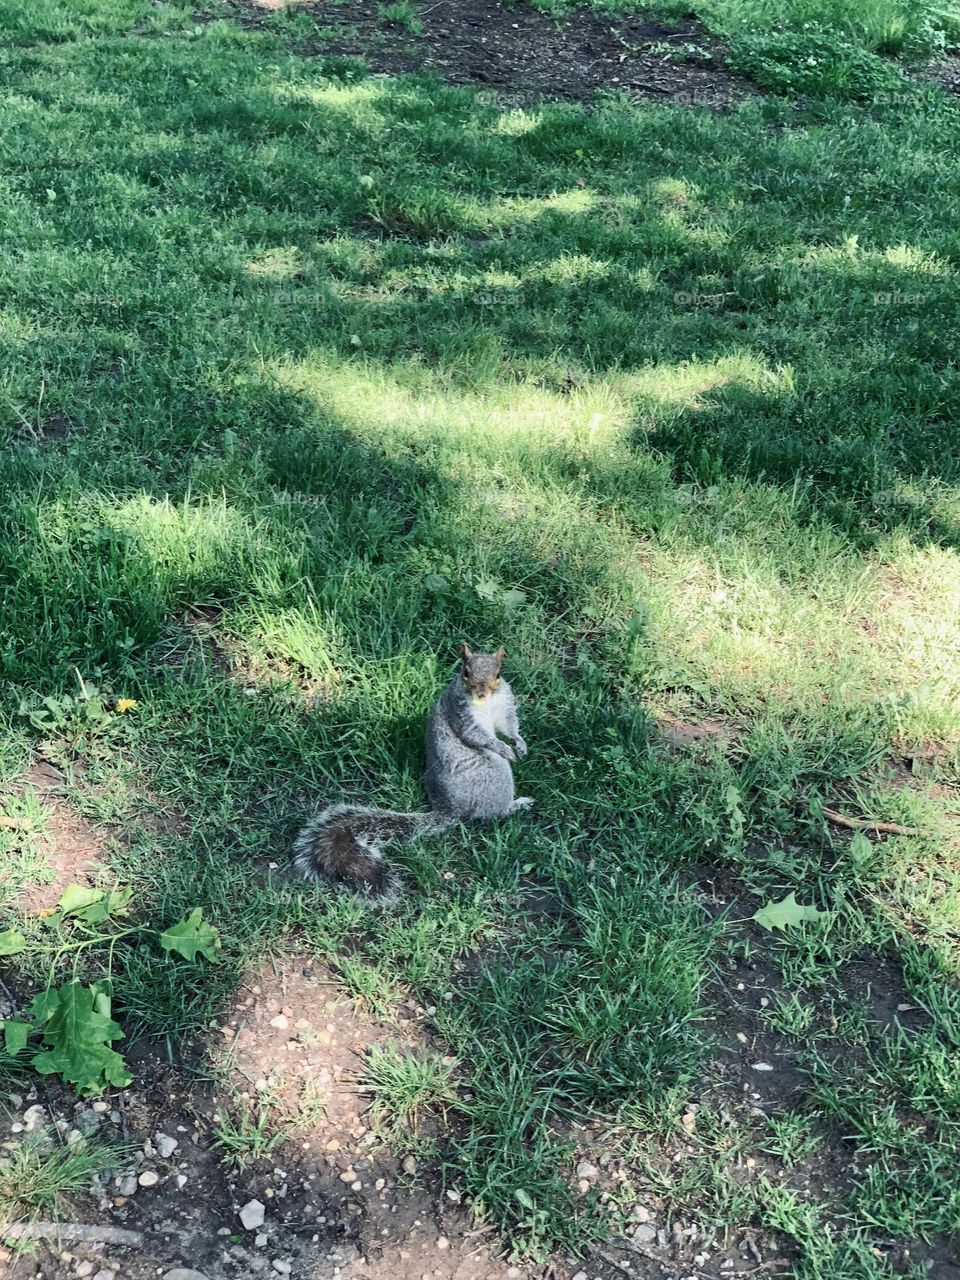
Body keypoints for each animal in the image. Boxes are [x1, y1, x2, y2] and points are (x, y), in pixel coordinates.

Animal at [293, 640, 535, 901]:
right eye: (465, 672)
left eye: (498, 674)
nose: (480, 694)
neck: (488, 703)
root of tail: (451, 809)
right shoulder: (461, 714)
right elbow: (477, 736)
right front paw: (502, 748)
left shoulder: (504, 705)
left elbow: (509, 725)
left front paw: (519, 743)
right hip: (496, 778)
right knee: (492, 814)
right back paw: (515, 805)